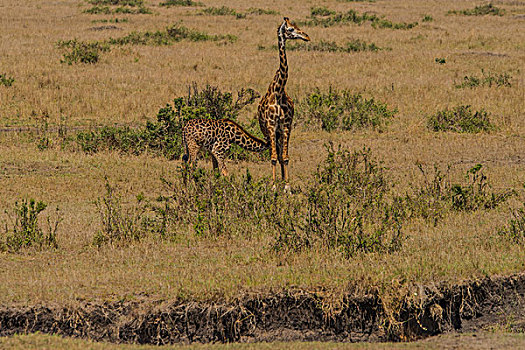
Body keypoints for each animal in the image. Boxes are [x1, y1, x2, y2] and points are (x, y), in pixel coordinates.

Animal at [256, 17, 310, 191]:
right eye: (291, 29)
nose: (306, 36)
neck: (279, 92)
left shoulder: (286, 126)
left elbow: (285, 157)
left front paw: (287, 186)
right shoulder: (271, 126)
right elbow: (273, 157)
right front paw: (273, 186)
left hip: (280, 132)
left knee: (280, 154)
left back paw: (281, 180)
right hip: (268, 132)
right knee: (274, 154)